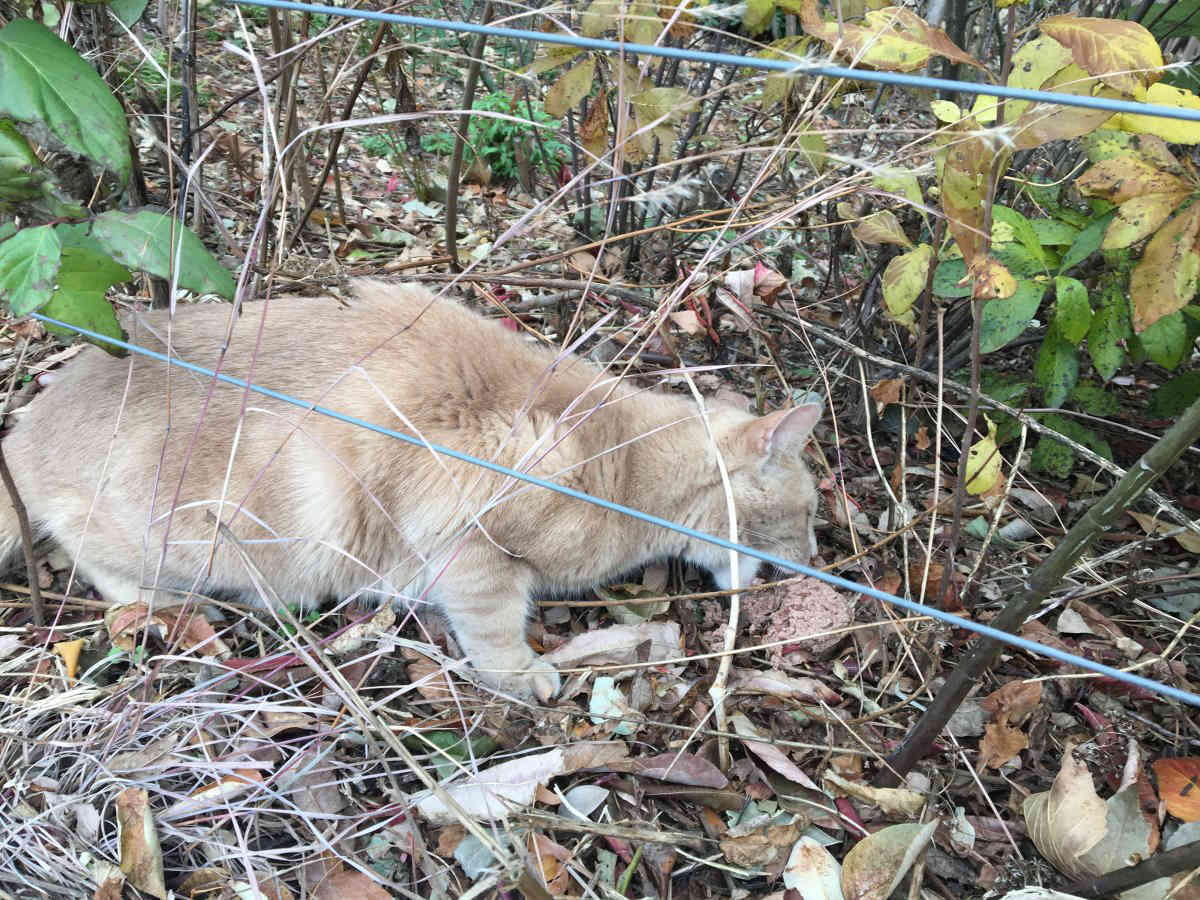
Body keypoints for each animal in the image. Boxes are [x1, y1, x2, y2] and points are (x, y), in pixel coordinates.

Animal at [0, 278, 825, 700]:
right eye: (809, 514)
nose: (820, 555)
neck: (620, 458)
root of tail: (24, 432)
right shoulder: (468, 545)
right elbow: (494, 626)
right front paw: (526, 674)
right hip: (176, 537)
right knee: (102, 568)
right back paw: (172, 609)